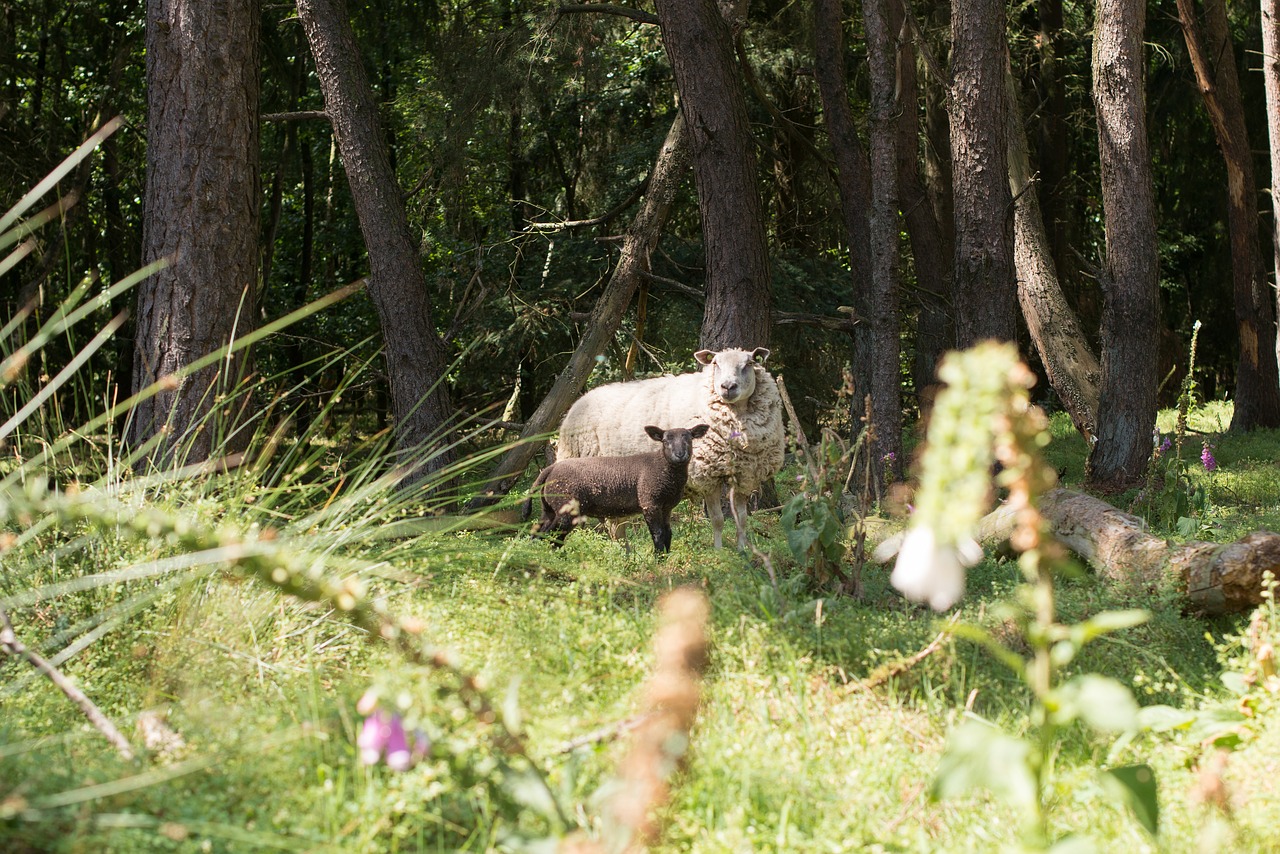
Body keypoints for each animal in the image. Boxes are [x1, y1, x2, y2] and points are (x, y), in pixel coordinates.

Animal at [524, 425, 716, 555]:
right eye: (665, 440)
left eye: (689, 439)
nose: (680, 455)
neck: (664, 467)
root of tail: (549, 470)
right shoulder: (649, 502)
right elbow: (658, 533)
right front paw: (658, 559)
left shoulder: (666, 507)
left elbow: (668, 533)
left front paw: (665, 556)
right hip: (566, 507)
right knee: (552, 534)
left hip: (549, 508)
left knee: (538, 531)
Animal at [558, 348, 783, 547]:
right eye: (715, 363)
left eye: (749, 363)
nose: (727, 386)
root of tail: (579, 402)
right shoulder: (707, 476)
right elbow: (718, 520)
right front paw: (720, 553)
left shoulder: (745, 475)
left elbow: (742, 520)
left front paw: (743, 551)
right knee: (611, 527)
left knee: (616, 526)